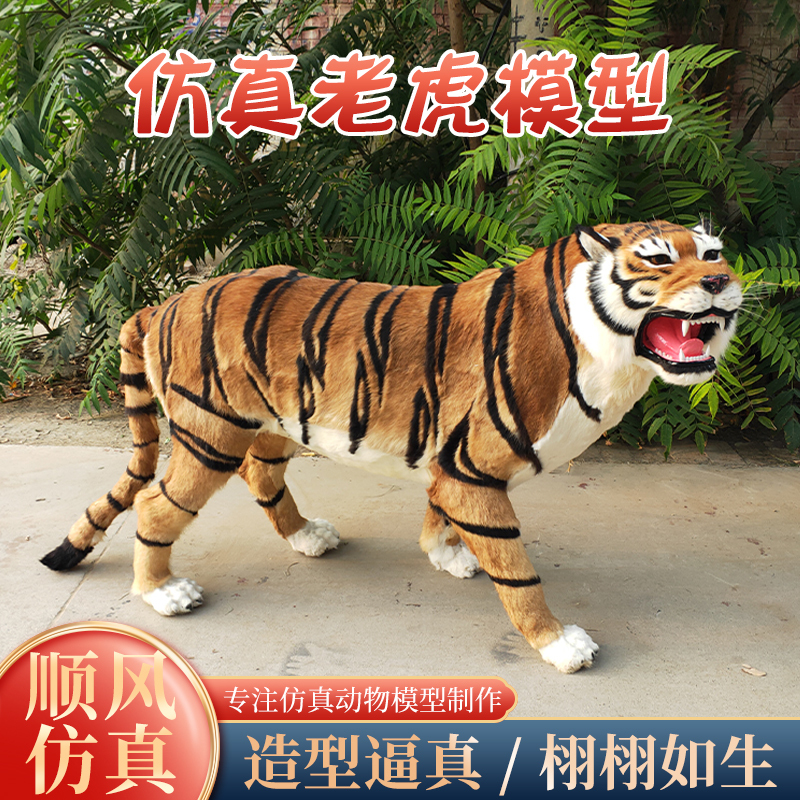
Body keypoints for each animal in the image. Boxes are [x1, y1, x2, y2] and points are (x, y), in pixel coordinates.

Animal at [41, 219, 742, 673]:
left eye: (714, 251)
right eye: (658, 260)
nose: (721, 282)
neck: (603, 352)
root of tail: (164, 302)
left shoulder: (453, 467)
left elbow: (443, 517)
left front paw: (448, 556)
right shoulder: (472, 468)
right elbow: (518, 571)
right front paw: (557, 643)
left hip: (270, 427)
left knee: (262, 479)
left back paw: (308, 537)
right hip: (209, 432)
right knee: (157, 505)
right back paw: (163, 593)